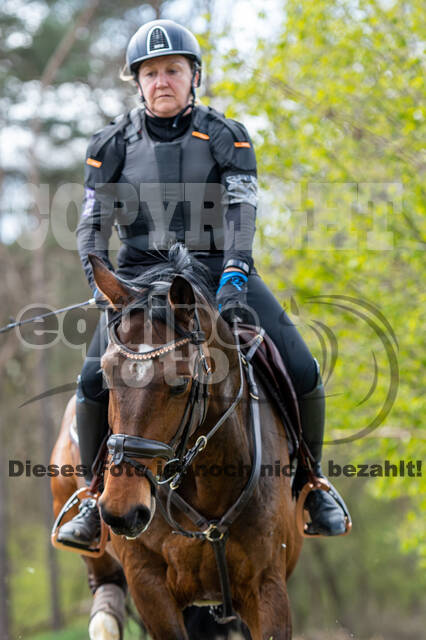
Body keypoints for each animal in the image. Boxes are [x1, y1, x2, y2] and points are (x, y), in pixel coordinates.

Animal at [50, 249, 302, 640]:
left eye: (181, 383)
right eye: (106, 375)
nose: (122, 511)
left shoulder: (267, 589)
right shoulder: (149, 587)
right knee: (105, 590)